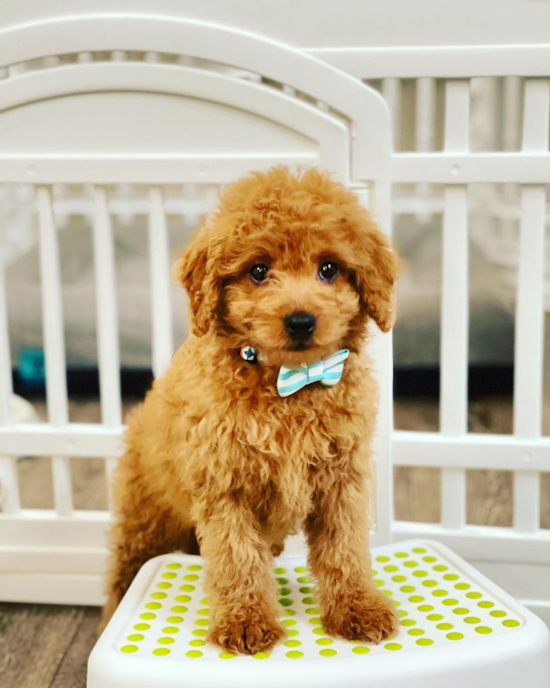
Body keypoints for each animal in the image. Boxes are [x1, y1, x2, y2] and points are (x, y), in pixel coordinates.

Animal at [101, 168, 398, 656]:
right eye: (258, 271)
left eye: (329, 269)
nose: (300, 320)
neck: (289, 383)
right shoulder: (225, 485)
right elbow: (237, 556)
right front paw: (245, 621)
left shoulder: (342, 480)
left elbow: (346, 548)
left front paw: (358, 608)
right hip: (144, 519)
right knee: (124, 570)